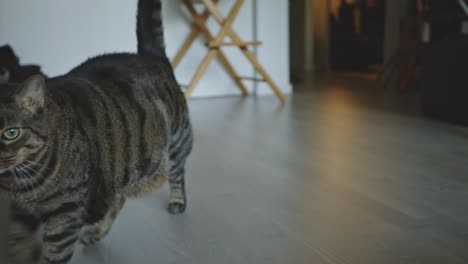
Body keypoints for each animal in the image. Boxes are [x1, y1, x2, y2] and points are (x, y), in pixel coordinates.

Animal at [0, 1, 193, 262]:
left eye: (11, 133)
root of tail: (148, 55)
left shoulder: (66, 213)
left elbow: (54, 254)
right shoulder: (19, 213)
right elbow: (17, 245)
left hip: (176, 141)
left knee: (177, 172)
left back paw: (177, 201)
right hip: (119, 166)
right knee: (118, 198)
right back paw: (97, 231)